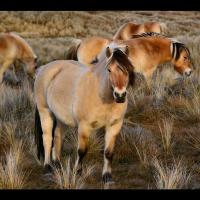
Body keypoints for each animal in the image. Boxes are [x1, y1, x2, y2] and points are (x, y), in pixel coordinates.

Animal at [34, 43, 134, 184]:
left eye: (128, 69)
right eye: (109, 70)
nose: (120, 95)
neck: (101, 94)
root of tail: (44, 68)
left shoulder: (114, 126)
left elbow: (108, 152)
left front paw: (107, 177)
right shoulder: (84, 126)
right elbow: (82, 151)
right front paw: (78, 173)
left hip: (61, 119)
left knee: (58, 136)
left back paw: (57, 165)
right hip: (45, 112)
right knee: (47, 138)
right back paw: (47, 167)